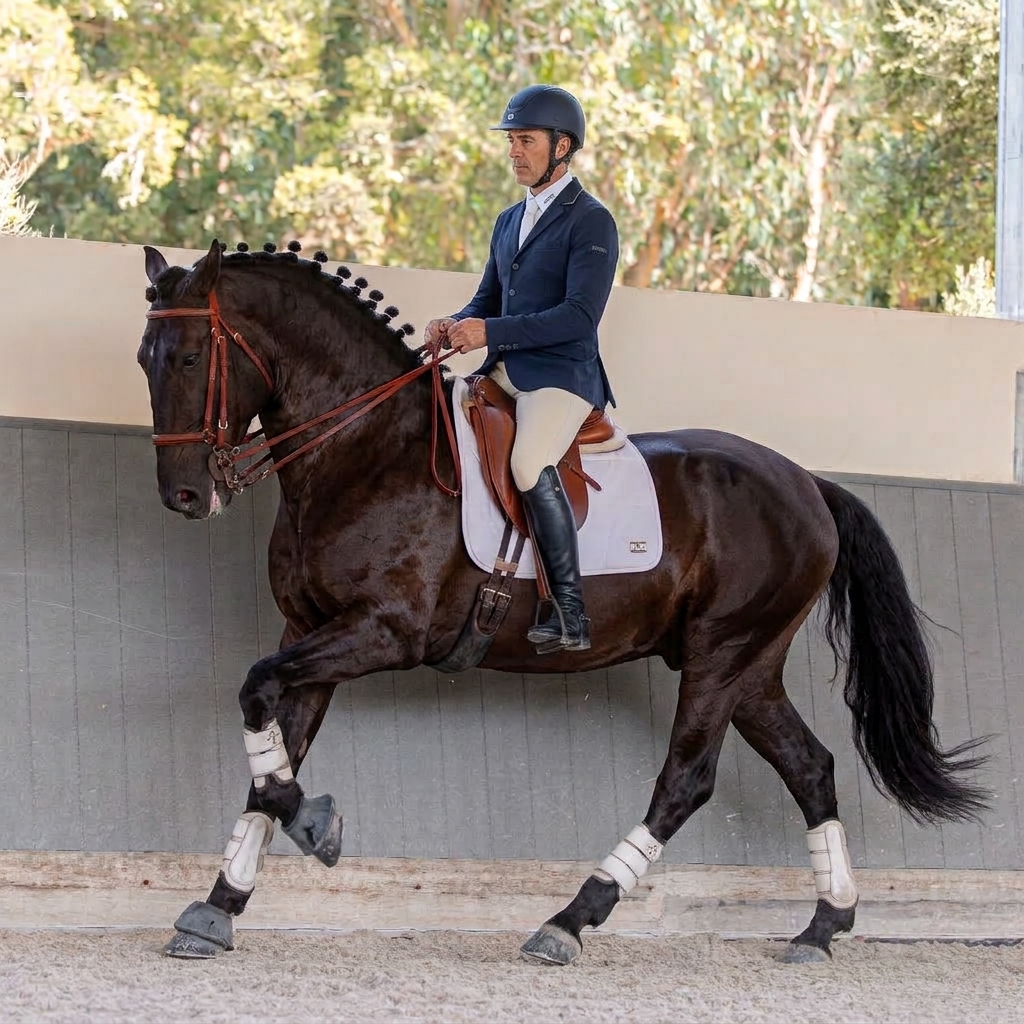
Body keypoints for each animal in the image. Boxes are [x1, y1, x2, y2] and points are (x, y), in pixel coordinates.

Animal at [138, 238, 988, 964]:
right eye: (144, 361)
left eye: (190, 357)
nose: (183, 496)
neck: (366, 451)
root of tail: (808, 483)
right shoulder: (309, 630)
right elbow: (270, 748)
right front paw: (220, 906)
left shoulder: (383, 632)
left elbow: (255, 694)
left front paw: (314, 826)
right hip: (751, 666)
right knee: (810, 768)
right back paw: (822, 926)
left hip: (722, 655)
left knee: (686, 781)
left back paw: (569, 921)